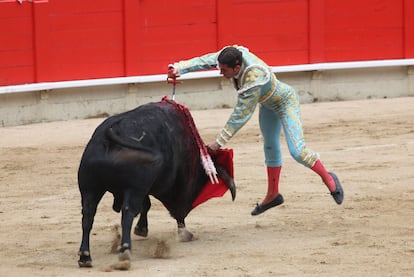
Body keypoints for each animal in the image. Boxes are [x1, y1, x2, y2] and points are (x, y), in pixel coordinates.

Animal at [77, 98, 236, 266]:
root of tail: (108, 135)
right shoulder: (168, 186)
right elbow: (175, 208)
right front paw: (183, 232)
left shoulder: (144, 187)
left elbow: (146, 204)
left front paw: (141, 229)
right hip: (133, 188)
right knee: (127, 212)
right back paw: (125, 250)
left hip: (90, 188)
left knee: (88, 215)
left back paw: (85, 256)